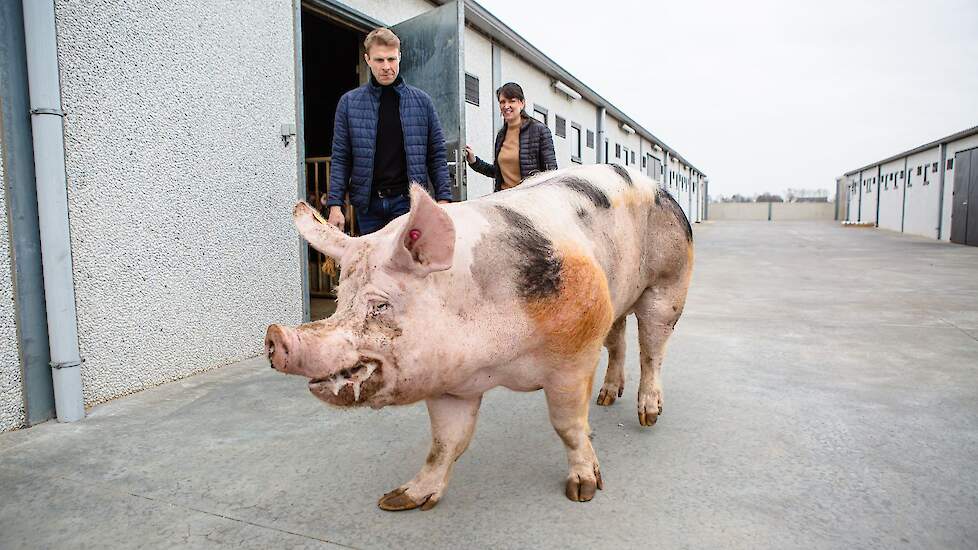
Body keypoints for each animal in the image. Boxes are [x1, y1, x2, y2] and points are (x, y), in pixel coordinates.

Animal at [266, 164, 692, 512]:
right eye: (340, 300)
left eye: (380, 305)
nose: (275, 337)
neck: (495, 361)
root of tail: (659, 187)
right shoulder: (449, 383)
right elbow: (445, 443)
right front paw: (397, 500)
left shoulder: (573, 357)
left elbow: (568, 426)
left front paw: (583, 491)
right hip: (615, 299)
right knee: (618, 339)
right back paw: (606, 398)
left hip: (669, 284)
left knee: (653, 348)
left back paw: (648, 415)